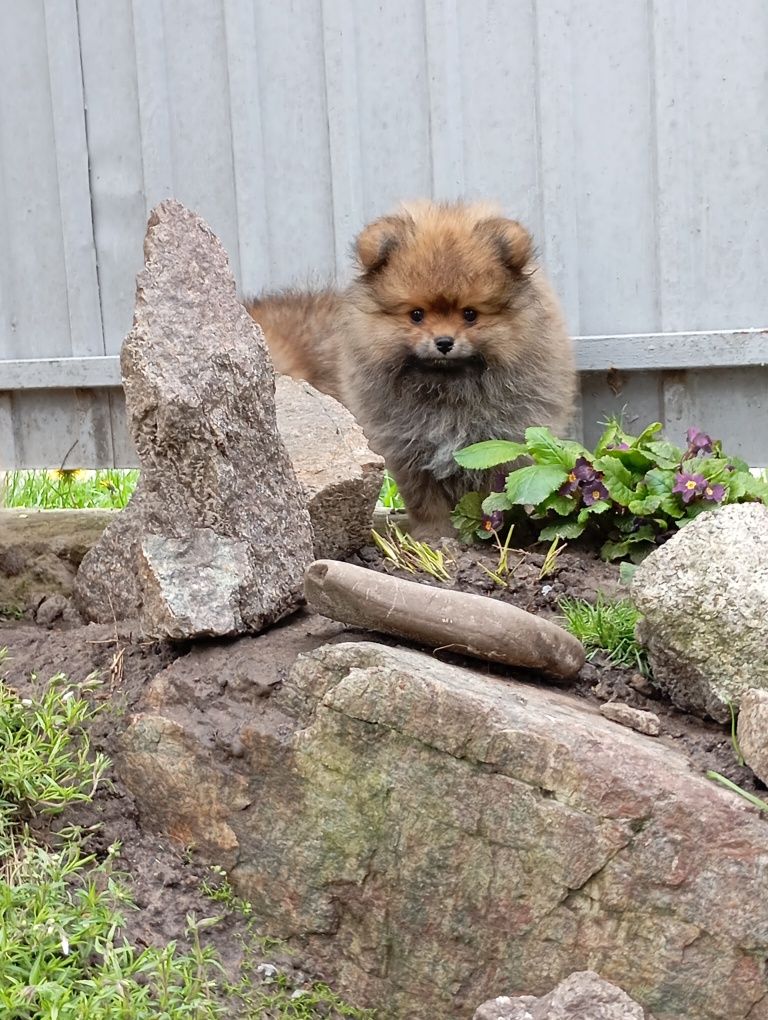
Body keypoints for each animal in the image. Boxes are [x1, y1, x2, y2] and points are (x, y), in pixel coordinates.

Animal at [245, 196, 575, 534]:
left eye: (470, 314)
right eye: (416, 315)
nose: (444, 341)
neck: (446, 392)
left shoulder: (496, 441)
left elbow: (489, 493)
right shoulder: (407, 445)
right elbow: (426, 499)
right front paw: (435, 534)